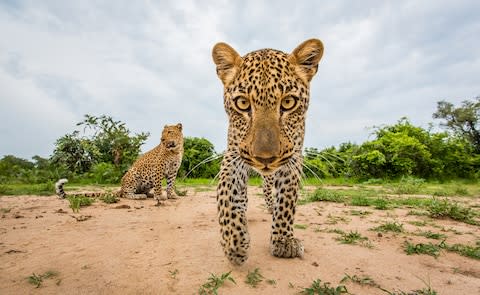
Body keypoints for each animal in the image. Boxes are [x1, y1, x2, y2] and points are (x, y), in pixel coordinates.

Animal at [55, 122, 184, 204]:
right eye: (162, 133)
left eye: (170, 132)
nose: (162, 139)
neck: (175, 150)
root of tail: (121, 188)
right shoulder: (158, 168)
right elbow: (158, 184)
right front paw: (159, 196)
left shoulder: (173, 171)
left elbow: (170, 184)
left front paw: (171, 195)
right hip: (133, 174)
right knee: (126, 194)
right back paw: (139, 196)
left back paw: (148, 194)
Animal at [212, 38, 324, 264]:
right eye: (242, 103)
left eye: (288, 102)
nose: (265, 159)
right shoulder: (233, 154)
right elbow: (226, 193)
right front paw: (234, 243)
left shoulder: (293, 158)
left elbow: (287, 200)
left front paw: (283, 241)